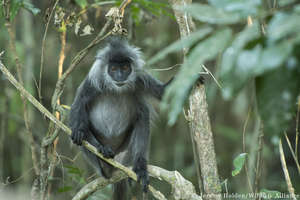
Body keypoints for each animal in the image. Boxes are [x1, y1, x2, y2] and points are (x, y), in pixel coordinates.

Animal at [68, 36, 171, 199]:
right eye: (114, 69)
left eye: (125, 68)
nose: (120, 76)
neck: (116, 88)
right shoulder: (93, 81)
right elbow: (78, 105)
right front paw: (79, 132)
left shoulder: (139, 80)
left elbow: (164, 92)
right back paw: (102, 155)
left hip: (126, 152)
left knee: (142, 116)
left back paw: (139, 167)